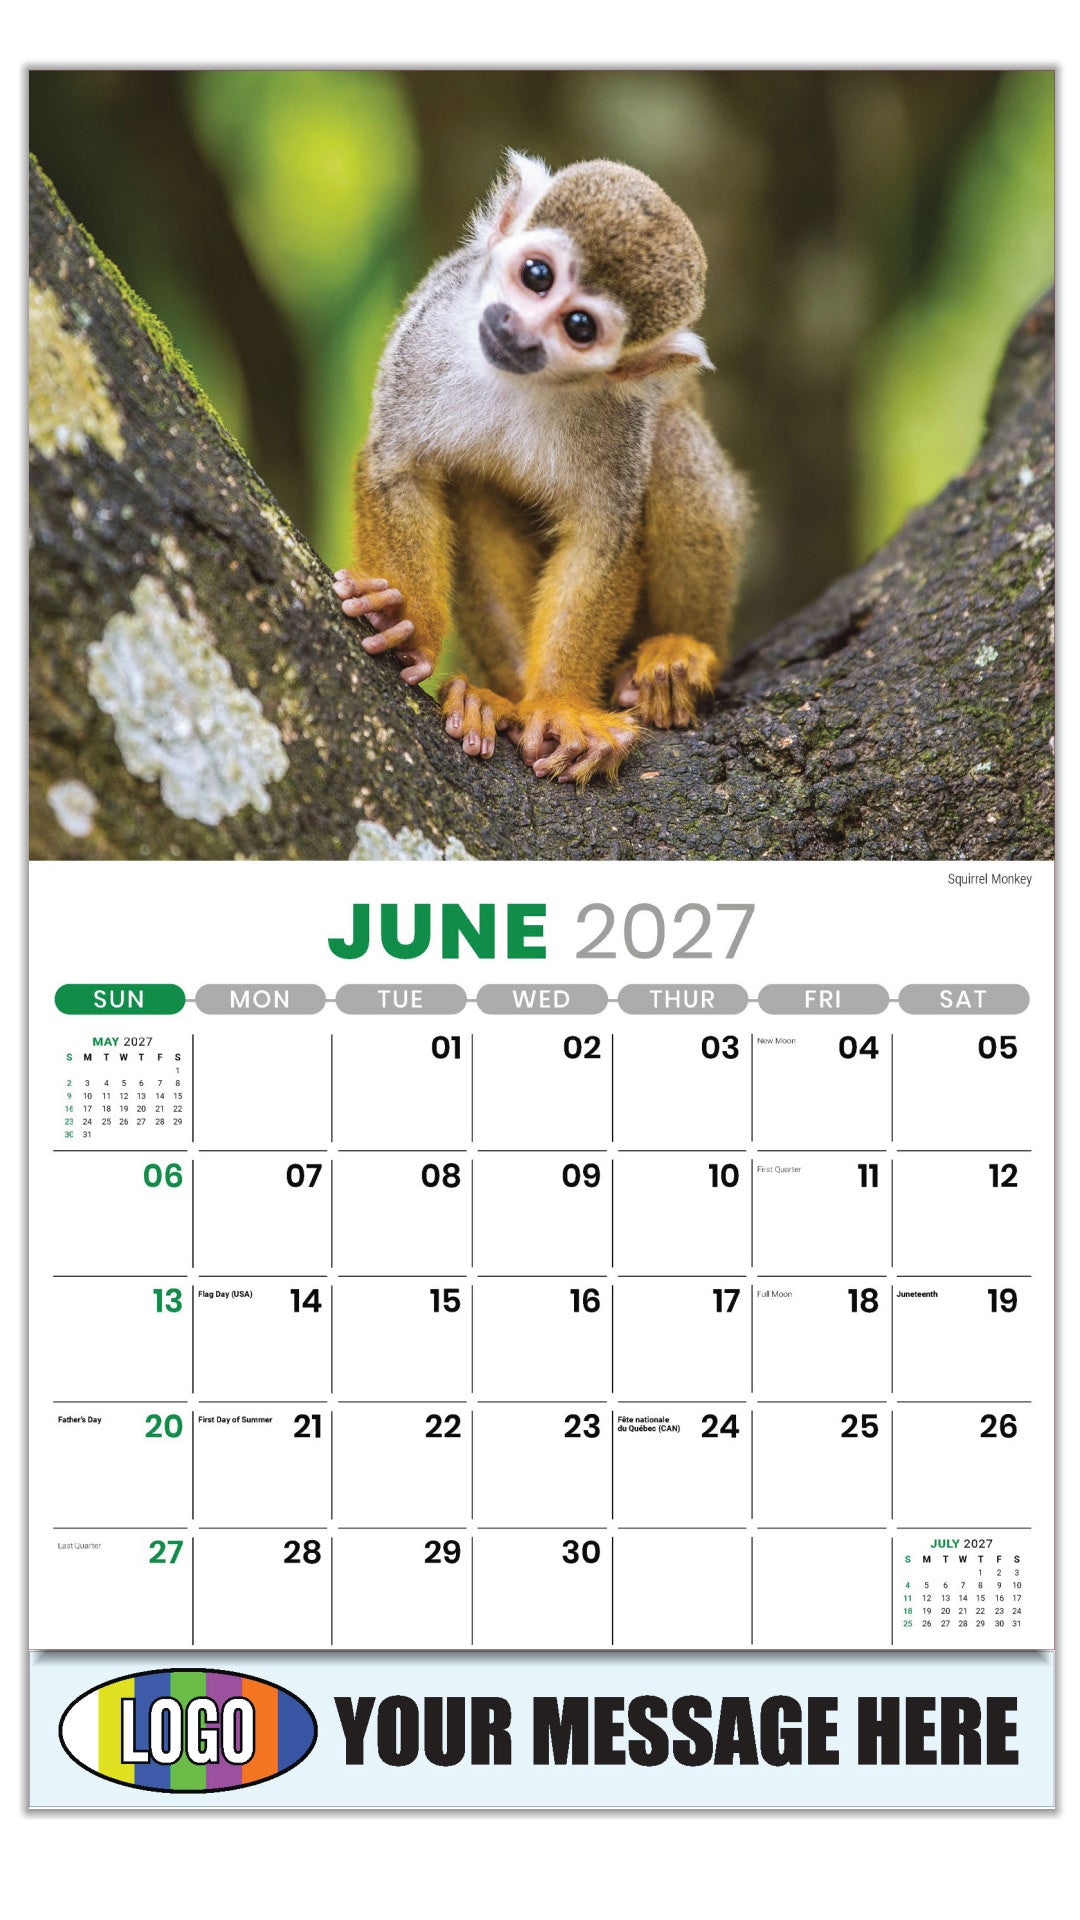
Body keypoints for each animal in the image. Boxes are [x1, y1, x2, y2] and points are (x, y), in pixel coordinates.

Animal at [334, 152, 751, 784]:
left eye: (579, 327)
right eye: (536, 276)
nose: (518, 329)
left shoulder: (618, 415)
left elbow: (601, 537)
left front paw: (558, 704)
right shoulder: (430, 323)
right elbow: (401, 467)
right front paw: (404, 622)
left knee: (673, 438)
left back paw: (680, 656)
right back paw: (496, 701)